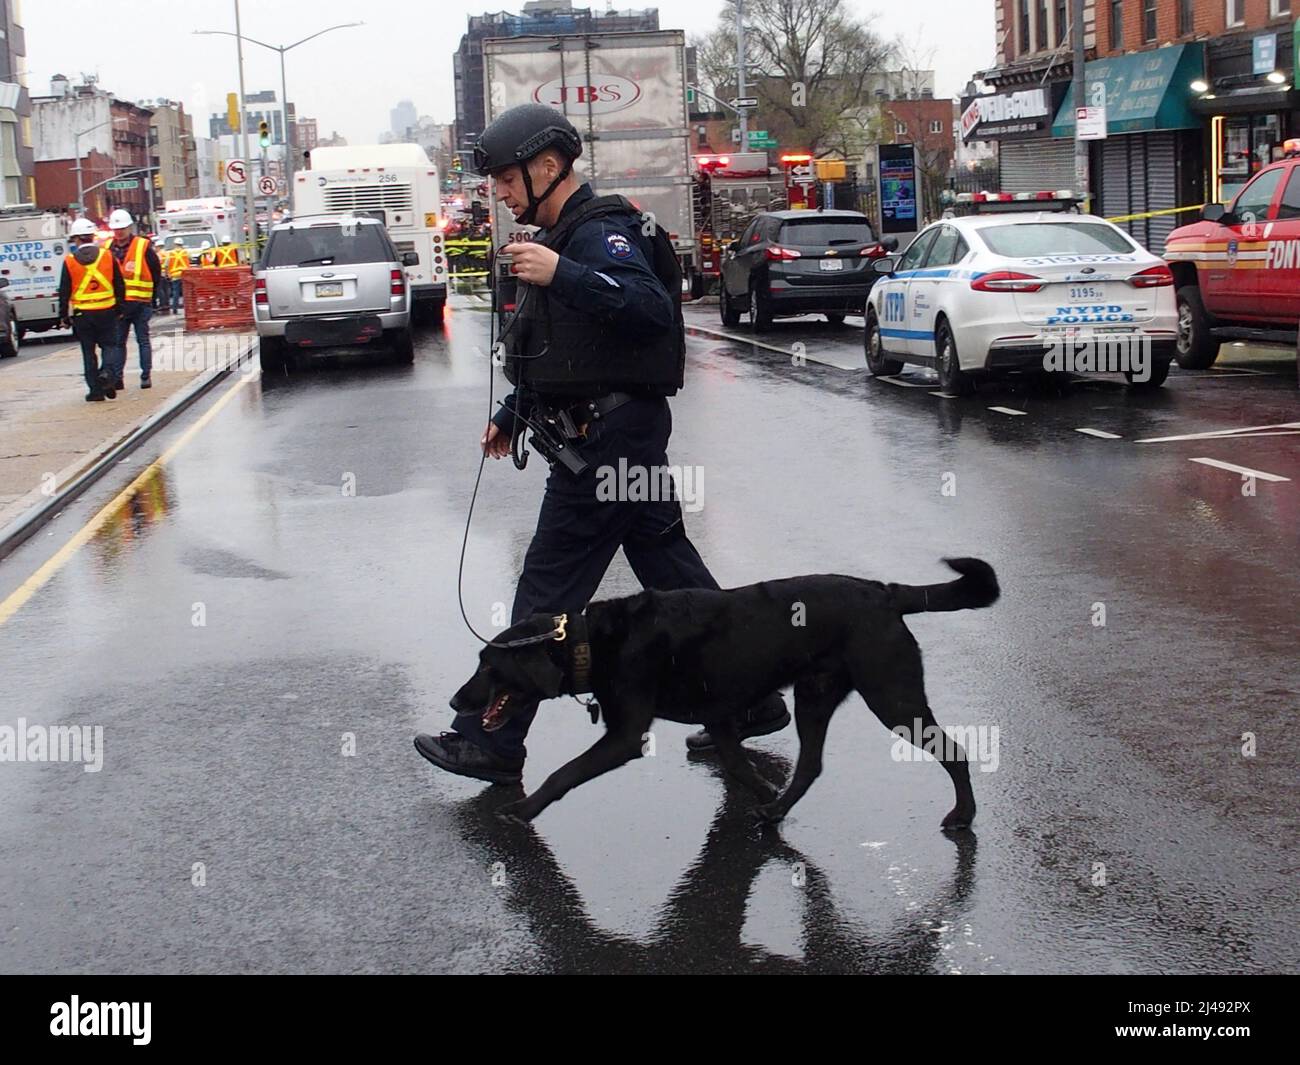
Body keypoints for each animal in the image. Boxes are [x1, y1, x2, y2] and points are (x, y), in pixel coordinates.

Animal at [447, 561, 993, 827]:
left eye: (488, 666)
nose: (455, 702)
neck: (591, 641)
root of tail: (883, 591)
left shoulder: (625, 737)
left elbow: (564, 773)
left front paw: (524, 810)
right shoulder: (721, 719)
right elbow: (738, 766)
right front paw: (764, 794)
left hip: (892, 696)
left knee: (955, 753)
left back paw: (964, 817)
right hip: (815, 697)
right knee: (810, 765)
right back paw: (776, 813)